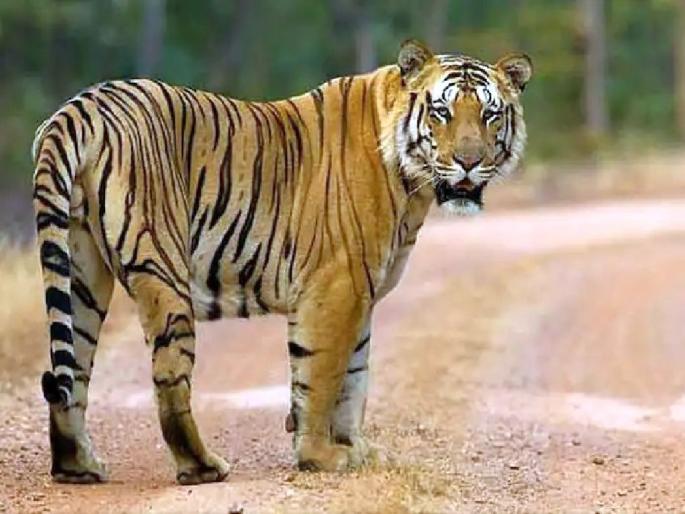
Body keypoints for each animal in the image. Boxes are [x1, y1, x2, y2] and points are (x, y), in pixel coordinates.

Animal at [32, 39, 532, 484]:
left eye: (489, 114)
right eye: (441, 111)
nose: (468, 162)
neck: (412, 187)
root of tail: (80, 107)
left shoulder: (361, 293)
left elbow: (355, 378)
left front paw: (357, 449)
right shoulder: (335, 288)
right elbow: (322, 376)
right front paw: (320, 457)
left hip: (81, 272)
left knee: (73, 370)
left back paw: (78, 466)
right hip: (162, 267)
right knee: (168, 377)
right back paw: (202, 467)